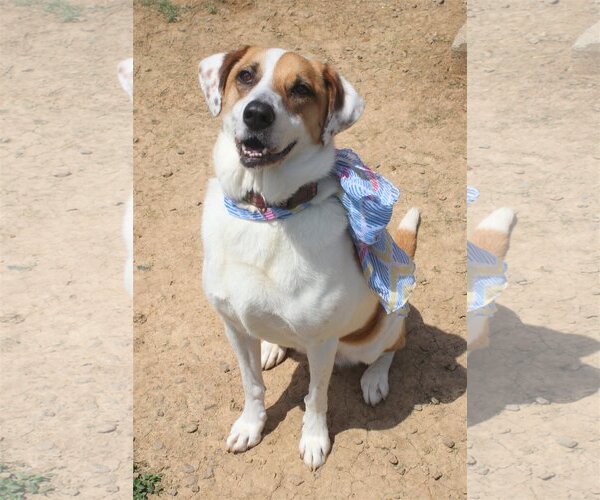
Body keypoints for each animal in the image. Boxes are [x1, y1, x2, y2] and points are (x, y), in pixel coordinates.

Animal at [199, 46, 420, 468]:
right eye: (246, 75)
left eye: (301, 88)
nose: (256, 113)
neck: (266, 214)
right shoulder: (234, 326)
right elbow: (252, 385)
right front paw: (250, 425)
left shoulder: (321, 344)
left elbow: (316, 398)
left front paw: (315, 440)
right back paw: (273, 346)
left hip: (379, 329)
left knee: (393, 346)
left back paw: (375, 379)